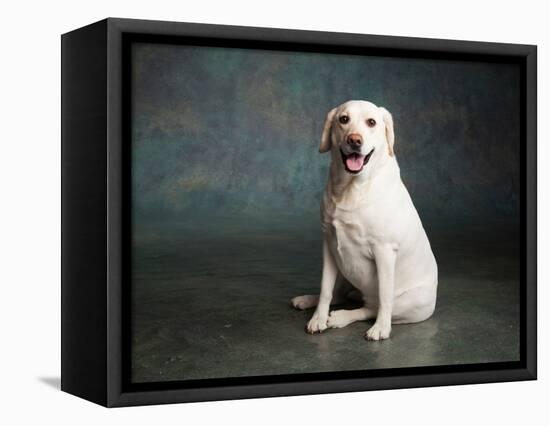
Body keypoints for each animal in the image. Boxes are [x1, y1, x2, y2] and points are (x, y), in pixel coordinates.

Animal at [292, 100, 438, 340]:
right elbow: (325, 288)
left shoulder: (384, 251)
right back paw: (307, 300)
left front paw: (381, 328)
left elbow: (385, 297)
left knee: (371, 307)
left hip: (413, 301)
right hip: (343, 268)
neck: (352, 188)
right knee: (340, 295)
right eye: (343, 119)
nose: (354, 140)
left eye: (371, 122)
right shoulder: (329, 244)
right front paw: (318, 318)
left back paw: (342, 318)